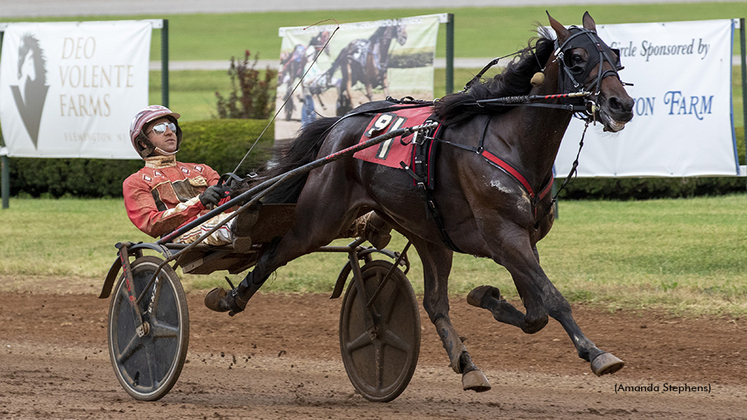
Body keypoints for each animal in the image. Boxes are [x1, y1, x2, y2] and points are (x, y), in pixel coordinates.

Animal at [207, 12, 636, 394]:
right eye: (577, 58)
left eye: (613, 53)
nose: (622, 104)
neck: (510, 142)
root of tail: (339, 125)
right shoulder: (503, 235)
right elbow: (552, 300)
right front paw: (598, 354)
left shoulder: (521, 239)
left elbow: (535, 314)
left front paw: (486, 297)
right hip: (319, 220)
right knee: (274, 253)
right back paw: (230, 297)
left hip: (428, 232)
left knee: (434, 303)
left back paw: (468, 366)